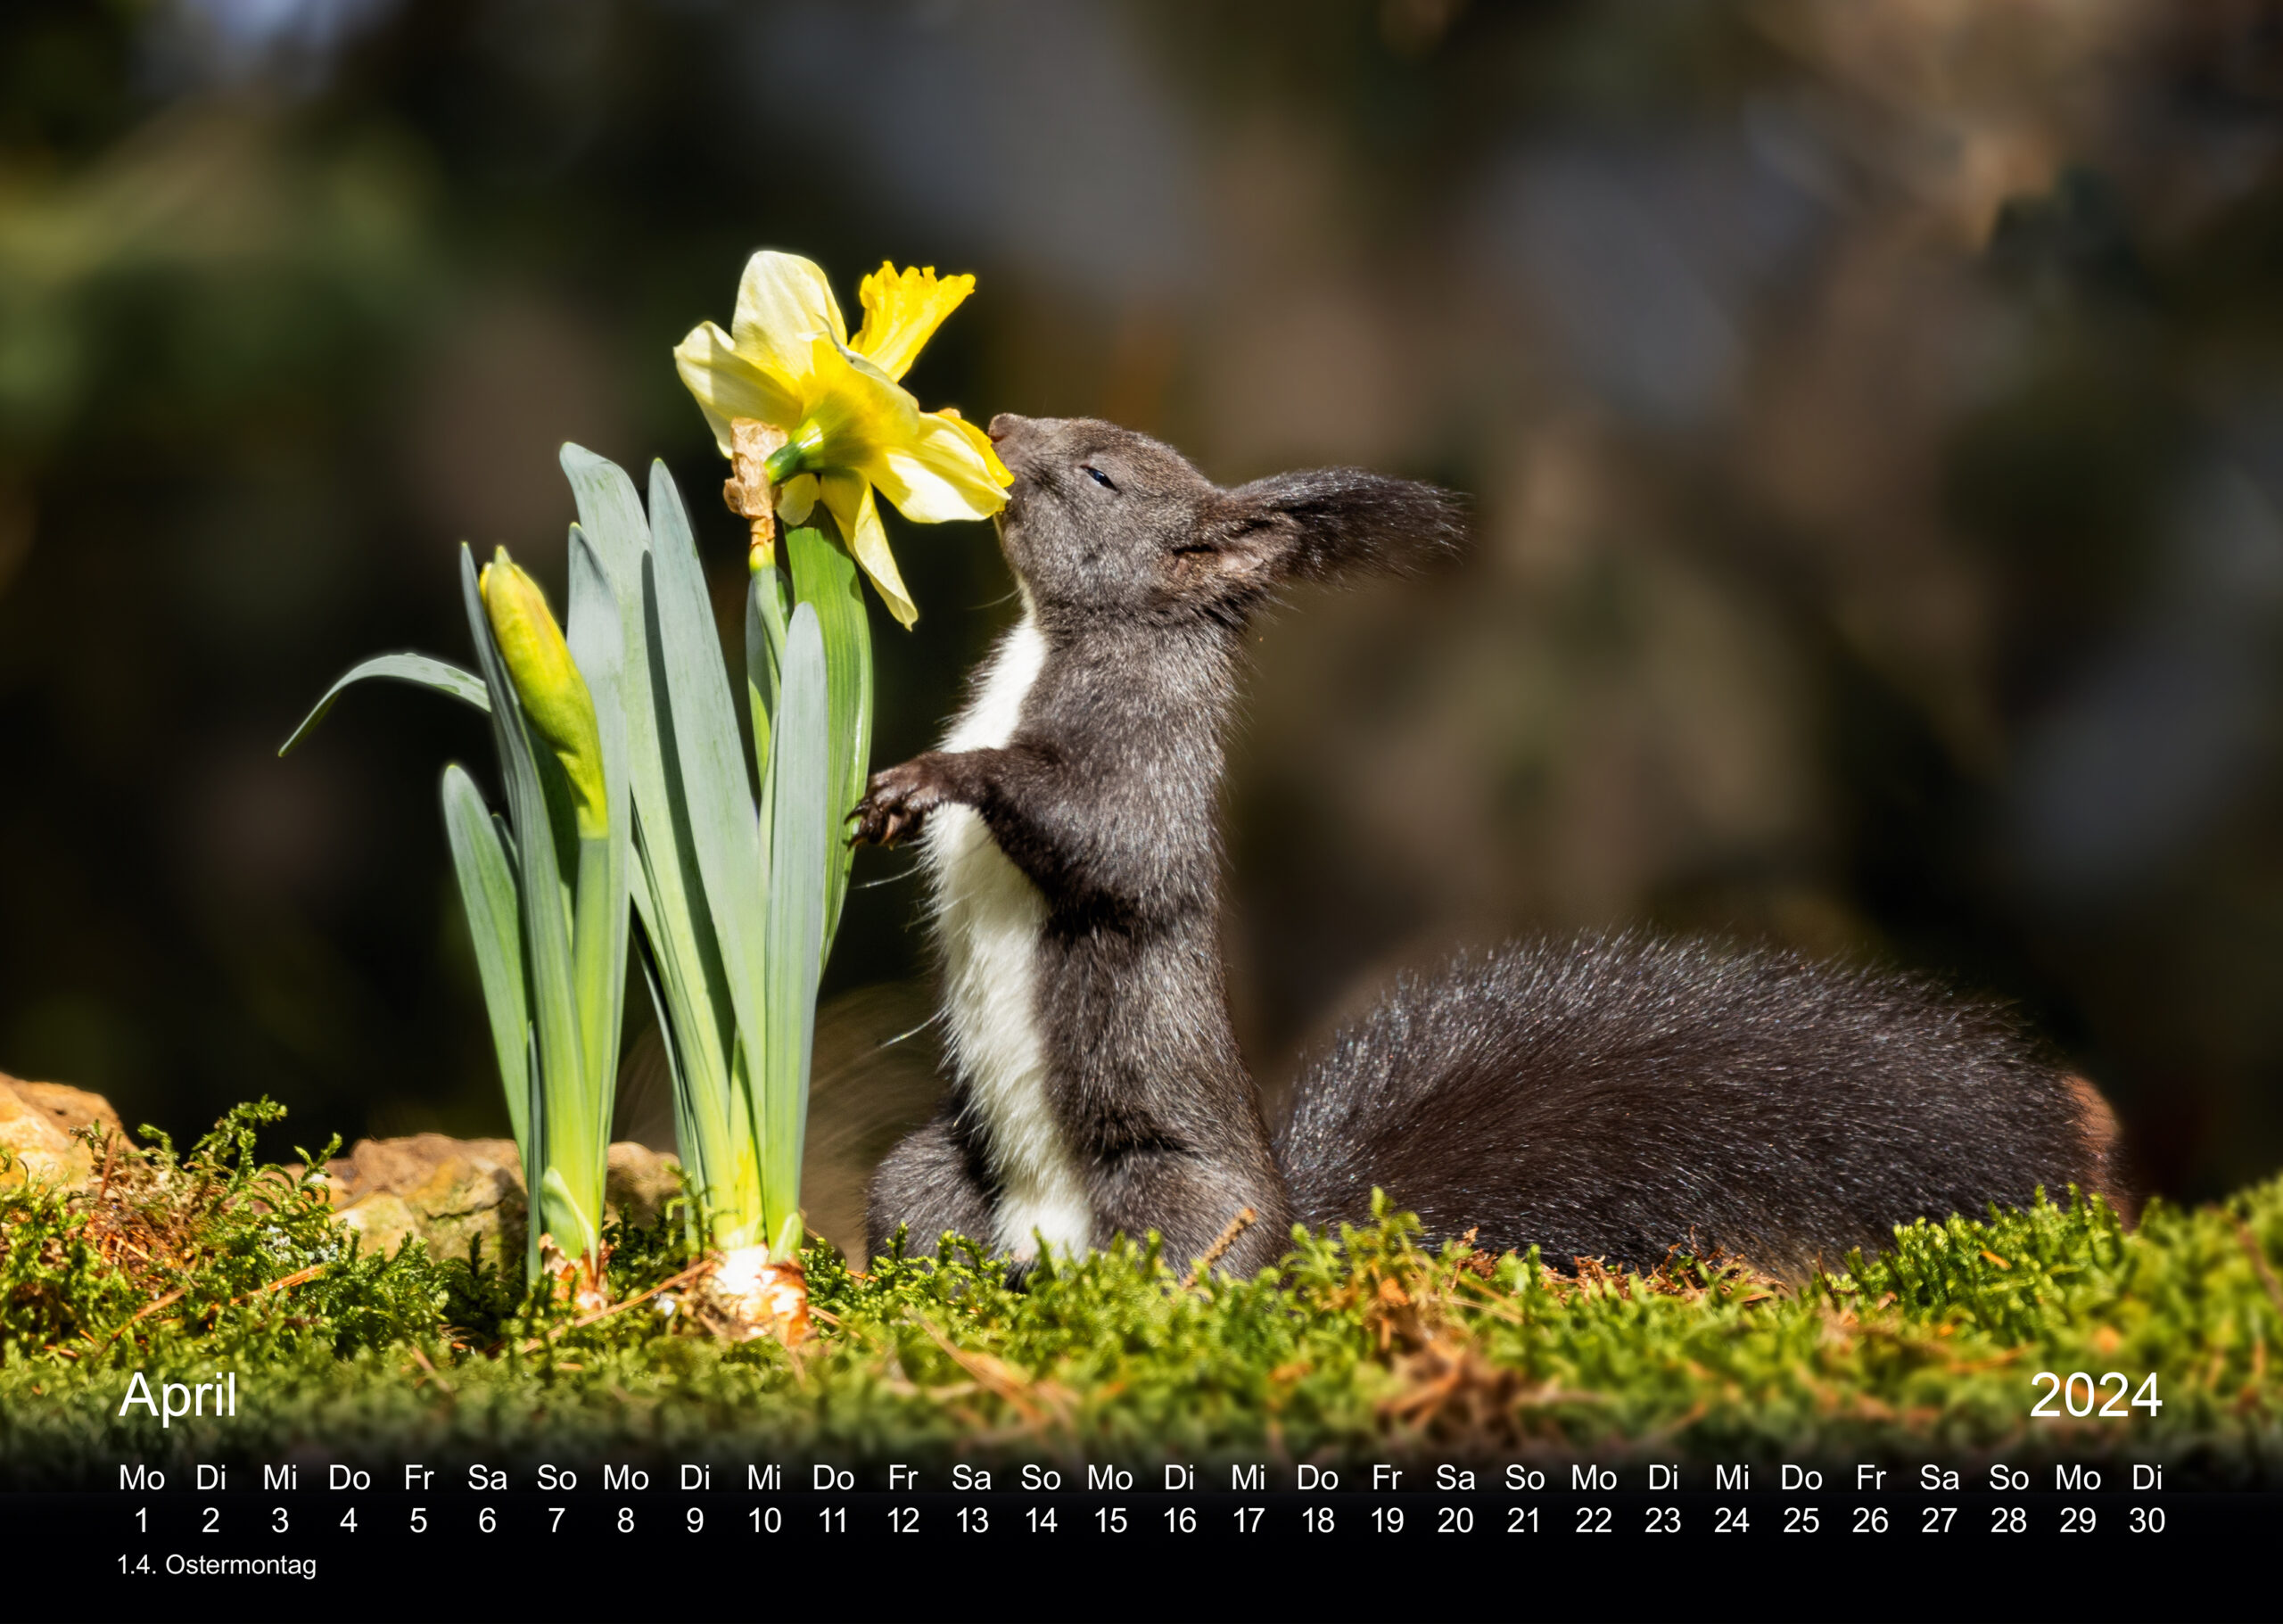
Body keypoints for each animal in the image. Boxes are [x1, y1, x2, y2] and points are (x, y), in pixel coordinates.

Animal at [849, 416, 2127, 1279]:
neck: (1052, 644)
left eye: (1103, 475)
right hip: (934, 1184)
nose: (1000, 426)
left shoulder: (1146, 758)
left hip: (1174, 1199)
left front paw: (942, 781)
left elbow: (1108, 844)